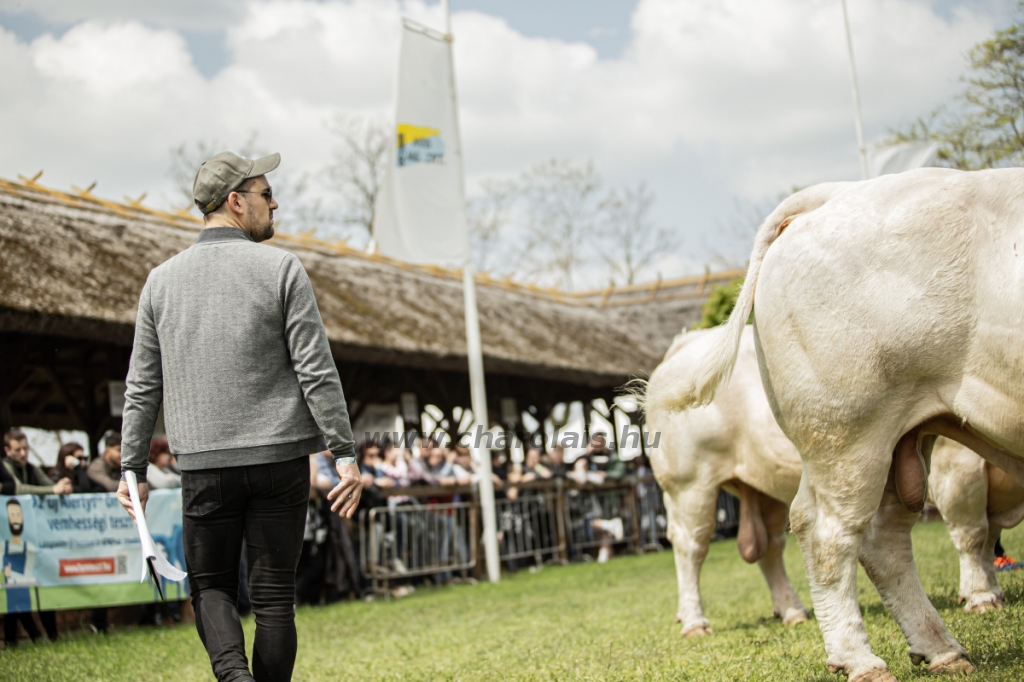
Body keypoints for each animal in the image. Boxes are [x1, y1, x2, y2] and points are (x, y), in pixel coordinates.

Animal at [647, 323, 806, 630]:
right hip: (691, 482)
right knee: (690, 545)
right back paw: (695, 623)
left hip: (765, 479)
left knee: (771, 546)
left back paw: (792, 611)